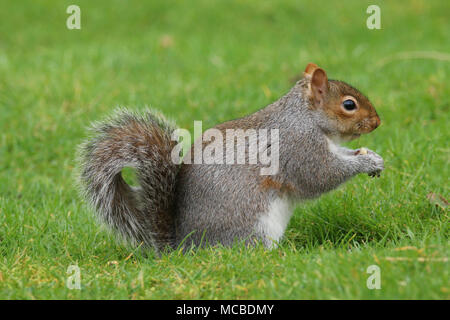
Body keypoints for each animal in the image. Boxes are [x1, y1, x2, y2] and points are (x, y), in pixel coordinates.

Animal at [77, 62, 384, 252]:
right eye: (349, 105)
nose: (377, 122)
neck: (305, 117)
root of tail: (184, 247)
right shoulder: (298, 146)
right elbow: (320, 176)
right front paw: (364, 162)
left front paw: (372, 157)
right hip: (254, 227)